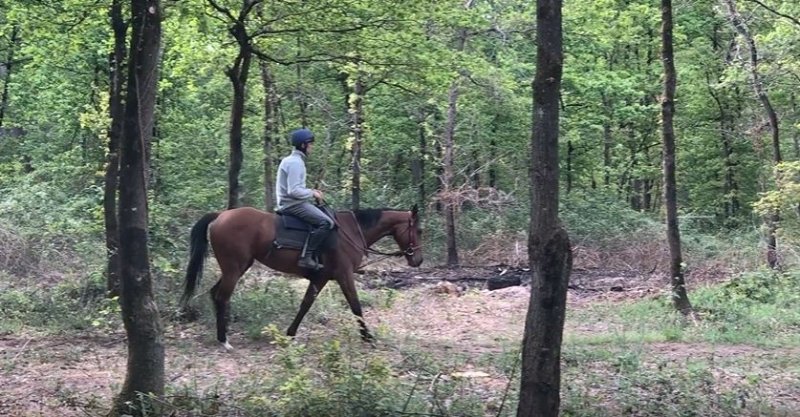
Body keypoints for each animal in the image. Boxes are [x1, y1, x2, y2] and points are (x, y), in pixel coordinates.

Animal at [180, 204, 423, 350]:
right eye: (419, 231)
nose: (418, 260)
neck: (352, 232)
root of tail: (221, 215)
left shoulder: (321, 278)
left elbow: (305, 304)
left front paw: (290, 334)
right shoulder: (344, 275)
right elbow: (355, 306)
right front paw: (367, 337)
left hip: (237, 267)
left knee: (215, 294)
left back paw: (221, 335)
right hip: (234, 268)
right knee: (222, 297)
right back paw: (225, 341)